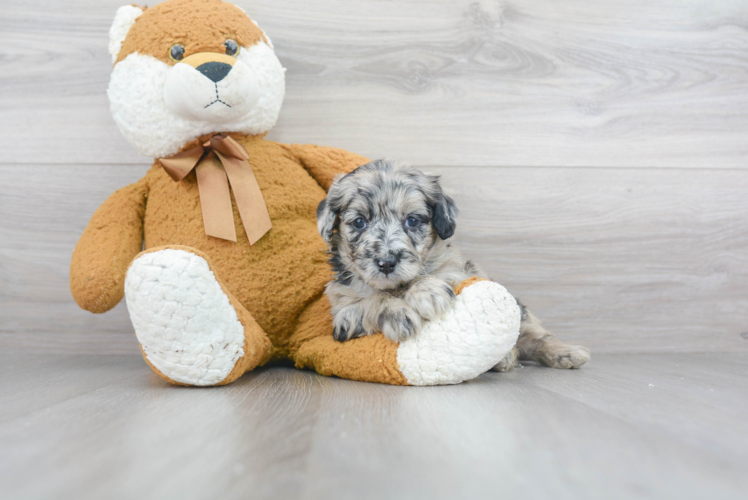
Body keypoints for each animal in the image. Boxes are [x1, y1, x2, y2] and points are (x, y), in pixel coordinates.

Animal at [316, 160, 592, 372]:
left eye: (412, 220)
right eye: (359, 222)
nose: (386, 263)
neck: (397, 287)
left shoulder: (460, 273)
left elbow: (433, 275)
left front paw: (427, 292)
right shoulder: (343, 314)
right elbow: (370, 300)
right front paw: (398, 314)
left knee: (533, 335)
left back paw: (563, 353)